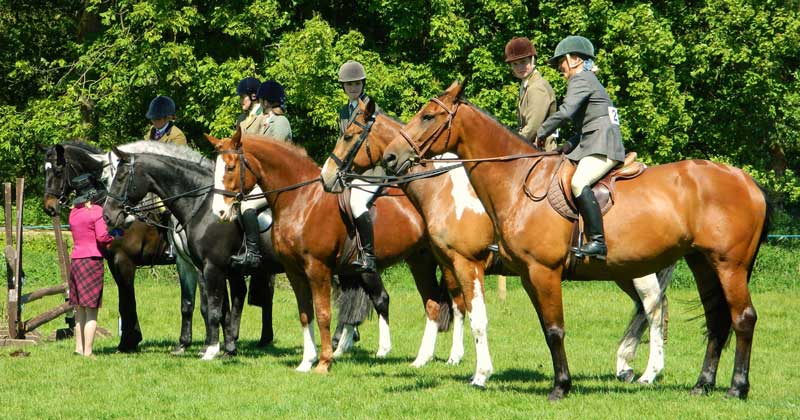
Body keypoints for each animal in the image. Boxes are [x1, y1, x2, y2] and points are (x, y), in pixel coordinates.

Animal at [43, 142, 211, 353]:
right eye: (44, 170)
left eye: (58, 170)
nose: (48, 206)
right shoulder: (114, 263)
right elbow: (125, 301)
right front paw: (130, 340)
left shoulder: (124, 261)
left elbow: (128, 301)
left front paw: (129, 341)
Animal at [99, 141, 283, 359]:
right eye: (105, 179)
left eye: (120, 177)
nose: (108, 216)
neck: (201, 205)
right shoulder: (191, 264)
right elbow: (195, 305)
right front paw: (194, 345)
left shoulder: (209, 267)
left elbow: (211, 308)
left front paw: (209, 349)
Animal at [205, 131, 452, 373]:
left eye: (230, 167)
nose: (219, 211)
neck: (303, 199)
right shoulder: (294, 272)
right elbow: (305, 313)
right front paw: (306, 361)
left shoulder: (318, 269)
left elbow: (323, 313)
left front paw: (324, 362)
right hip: (419, 261)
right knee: (432, 304)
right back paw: (422, 359)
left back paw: (451, 357)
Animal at [320, 98, 675, 386]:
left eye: (349, 136)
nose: (327, 176)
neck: (445, 189)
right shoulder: (449, 264)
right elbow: (454, 307)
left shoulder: (465, 263)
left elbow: (470, 314)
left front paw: (473, 369)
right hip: (622, 270)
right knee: (646, 309)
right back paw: (626, 365)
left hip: (636, 270)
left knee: (654, 308)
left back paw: (649, 372)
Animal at [383, 81, 768, 400]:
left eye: (428, 116)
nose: (390, 157)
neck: (516, 181)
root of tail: (745, 180)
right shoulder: (526, 275)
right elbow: (543, 327)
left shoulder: (533, 270)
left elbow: (551, 329)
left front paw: (556, 387)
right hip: (701, 264)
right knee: (715, 320)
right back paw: (701, 384)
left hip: (727, 266)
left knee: (740, 318)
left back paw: (735, 387)